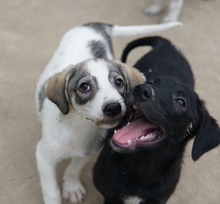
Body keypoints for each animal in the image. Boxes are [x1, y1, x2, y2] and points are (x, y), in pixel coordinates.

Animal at [35, 21, 180, 204]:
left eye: (119, 82)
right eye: (84, 86)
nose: (113, 107)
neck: (79, 126)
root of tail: (94, 25)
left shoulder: (88, 151)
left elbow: (73, 168)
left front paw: (71, 186)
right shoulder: (44, 157)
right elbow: (51, 191)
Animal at [93, 37, 220, 204]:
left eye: (181, 102)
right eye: (150, 82)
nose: (142, 89)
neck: (141, 164)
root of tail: (167, 44)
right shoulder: (110, 196)